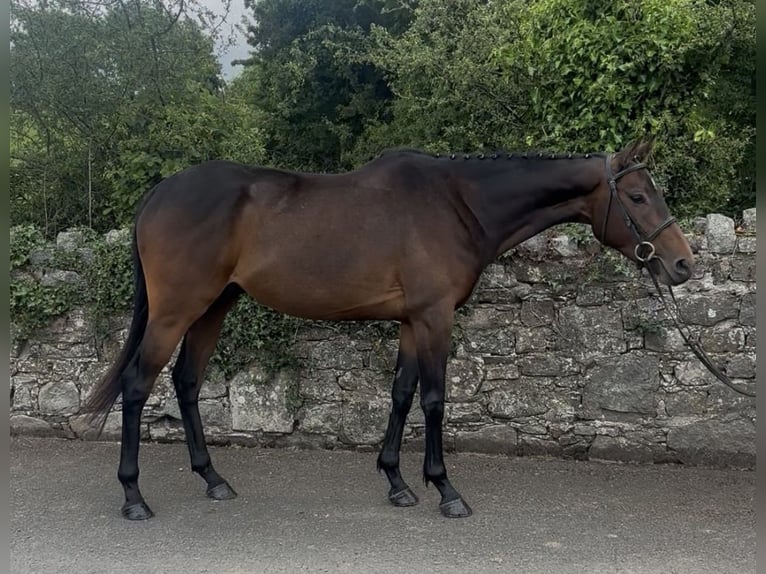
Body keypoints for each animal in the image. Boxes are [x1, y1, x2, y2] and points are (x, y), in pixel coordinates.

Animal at [84, 138, 694, 520]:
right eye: (637, 196)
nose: (683, 265)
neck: (457, 202)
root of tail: (158, 194)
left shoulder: (409, 320)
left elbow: (401, 394)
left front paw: (398, 482)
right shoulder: (434, 316)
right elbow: (434, 399)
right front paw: (445, 489)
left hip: (214, 307)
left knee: (186, 382)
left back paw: (213, 479)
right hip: (175, 310)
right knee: (138, 385)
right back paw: (134, 497)